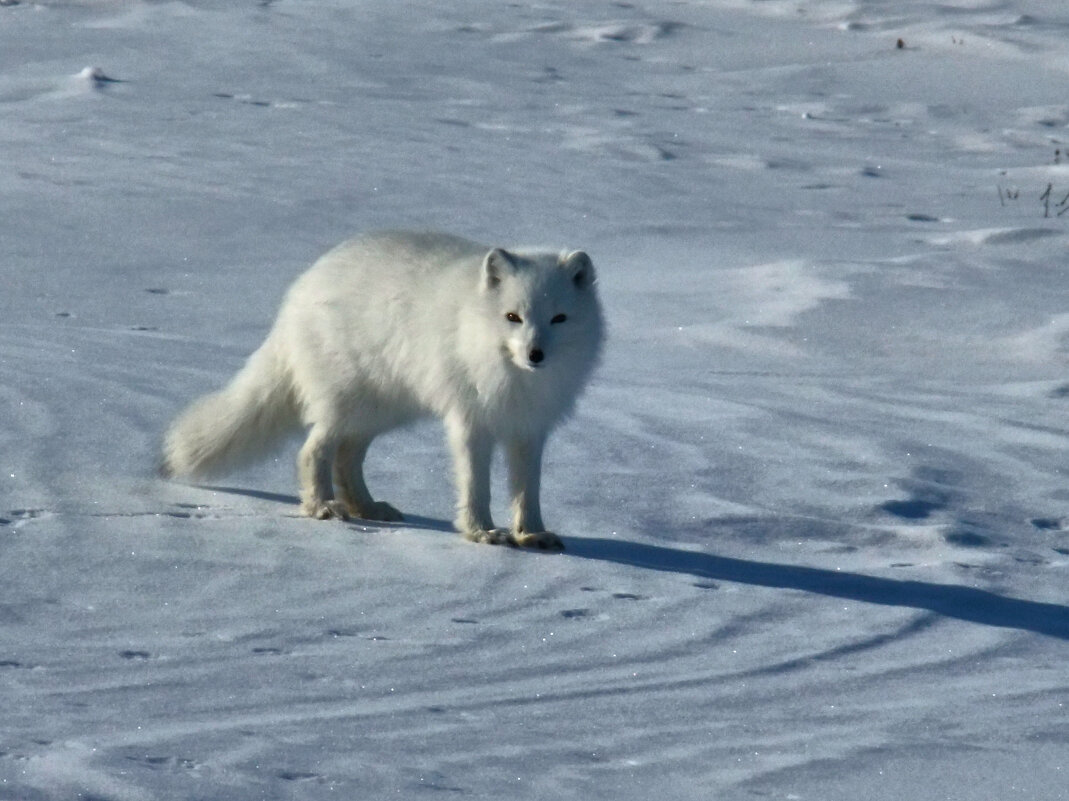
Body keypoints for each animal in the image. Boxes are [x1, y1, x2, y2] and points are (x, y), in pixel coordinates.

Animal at [162, 227, 607, 547]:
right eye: (513, 317)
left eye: (559, 318)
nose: (535, 354)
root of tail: (301, 289)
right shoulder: (470, 421)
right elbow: (475, 485)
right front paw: (481, 531)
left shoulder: (529, 429)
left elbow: (527, 489)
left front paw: (531, 533)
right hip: (348, 403)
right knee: (314, 451)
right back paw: (323, 506)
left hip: (381, 410)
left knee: (346, 458)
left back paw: (368, 507)